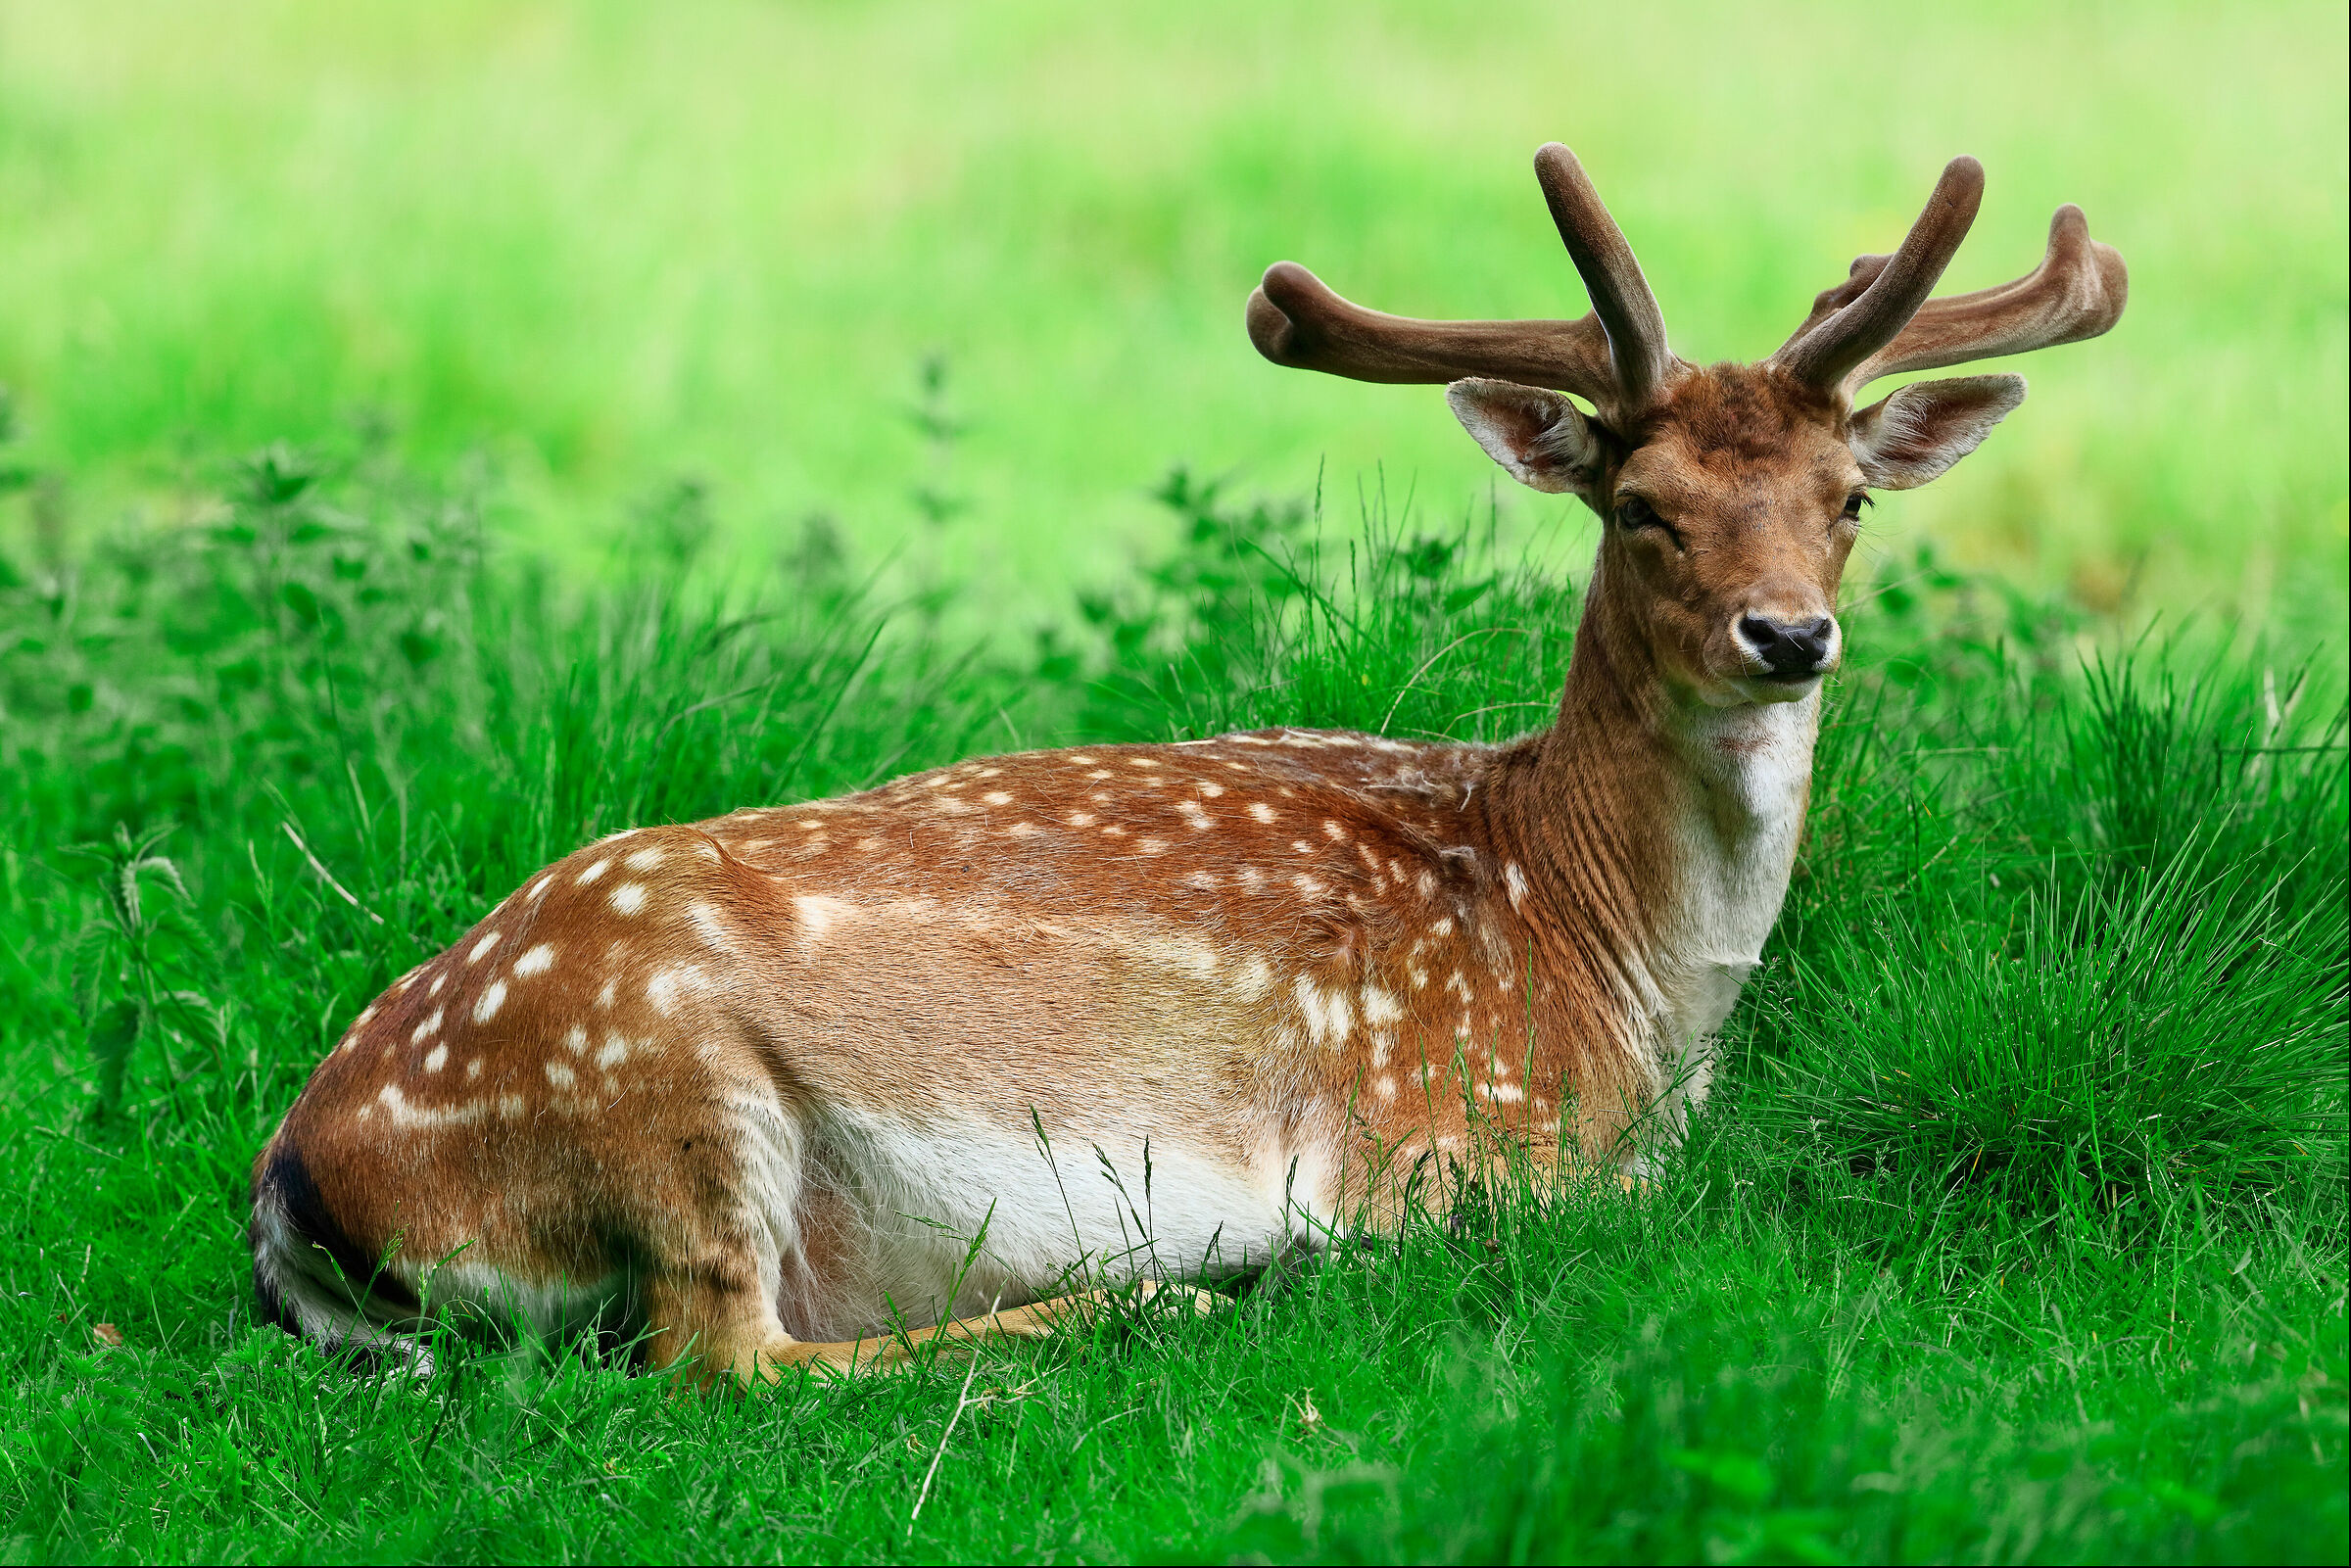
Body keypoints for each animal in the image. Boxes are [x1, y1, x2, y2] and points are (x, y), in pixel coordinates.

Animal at [251, 145, 2124, 1383]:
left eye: (1849, 499)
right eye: (1644, 507)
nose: (1788, 634)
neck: (1626, 984)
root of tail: (294, 1177)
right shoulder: (1437, 1148)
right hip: (665, 1082)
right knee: (723, 1359)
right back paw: (1143, 1302)